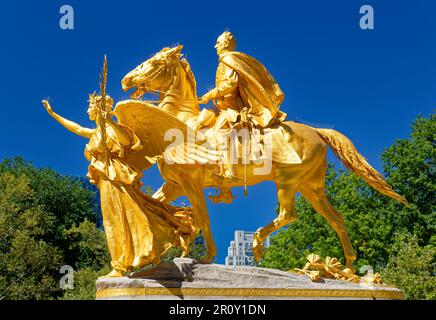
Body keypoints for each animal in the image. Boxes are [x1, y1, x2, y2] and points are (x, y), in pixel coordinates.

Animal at [116, 45, 406, 272]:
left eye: (154, 62)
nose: (125, 80)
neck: (178, 123)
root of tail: (317, 132)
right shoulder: (174, 185)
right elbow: (155, 203)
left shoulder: (191, 183)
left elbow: (203, 216)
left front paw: (205, 255)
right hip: (311, 187)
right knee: (337, 219)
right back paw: (347, 268)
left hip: (288, 182)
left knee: (289, 216)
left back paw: (257, 244)